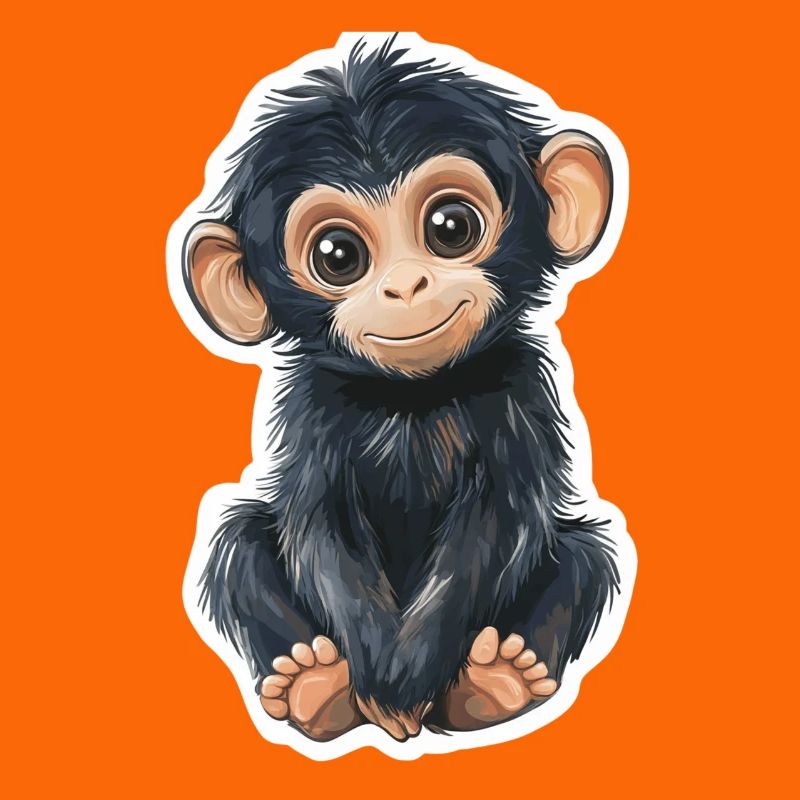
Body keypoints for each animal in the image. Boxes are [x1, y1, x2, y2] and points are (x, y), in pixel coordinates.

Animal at [180, 36, 623, 743]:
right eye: (338, 255)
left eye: (451, 226)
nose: (405, 286)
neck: (410, 399)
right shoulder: (313, 412)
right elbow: (319, 525)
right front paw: (379, 677)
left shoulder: (518, 393)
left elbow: (497, 524)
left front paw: (407, 673)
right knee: (241, 542)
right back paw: (315, 685)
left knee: (584, 556)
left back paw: (496, 684)